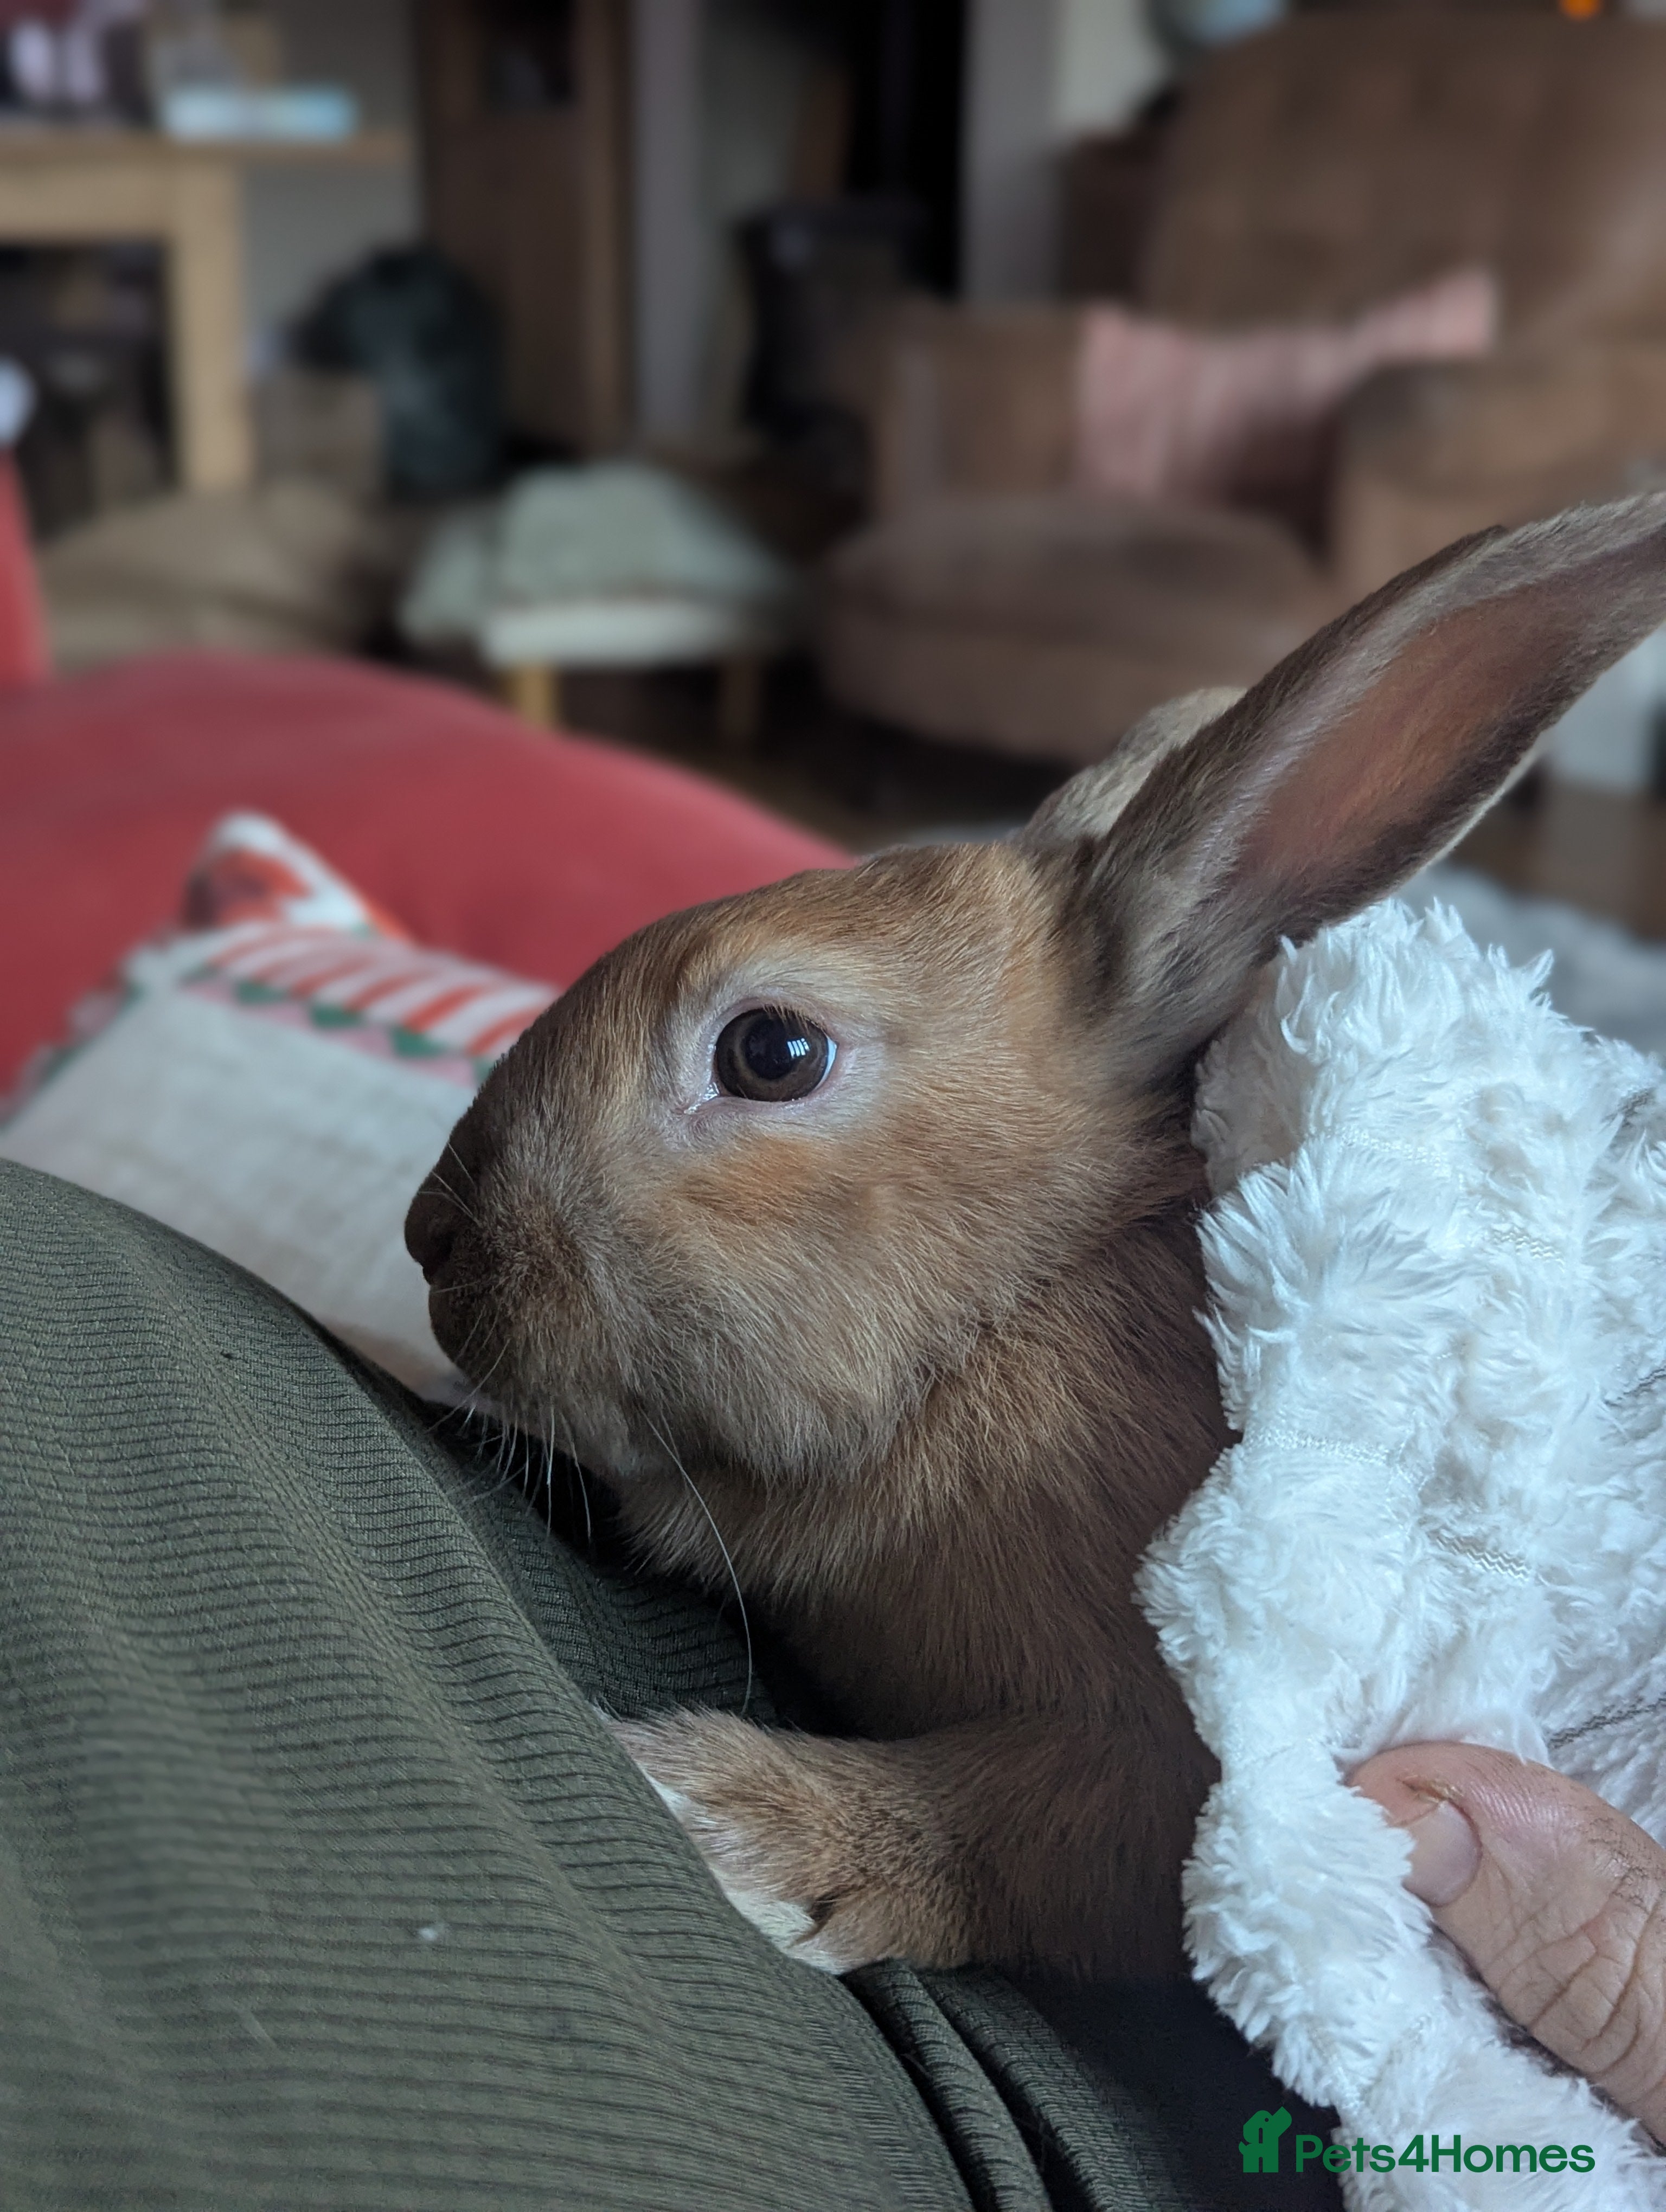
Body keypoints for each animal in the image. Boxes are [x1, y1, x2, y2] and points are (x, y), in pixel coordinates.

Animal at [405, 495, 1666, 1981]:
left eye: (771, 1051)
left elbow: (1032, 1826)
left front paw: (726, 1813)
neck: (1018, 1296)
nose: (428, 1236)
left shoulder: (1219, 1767)